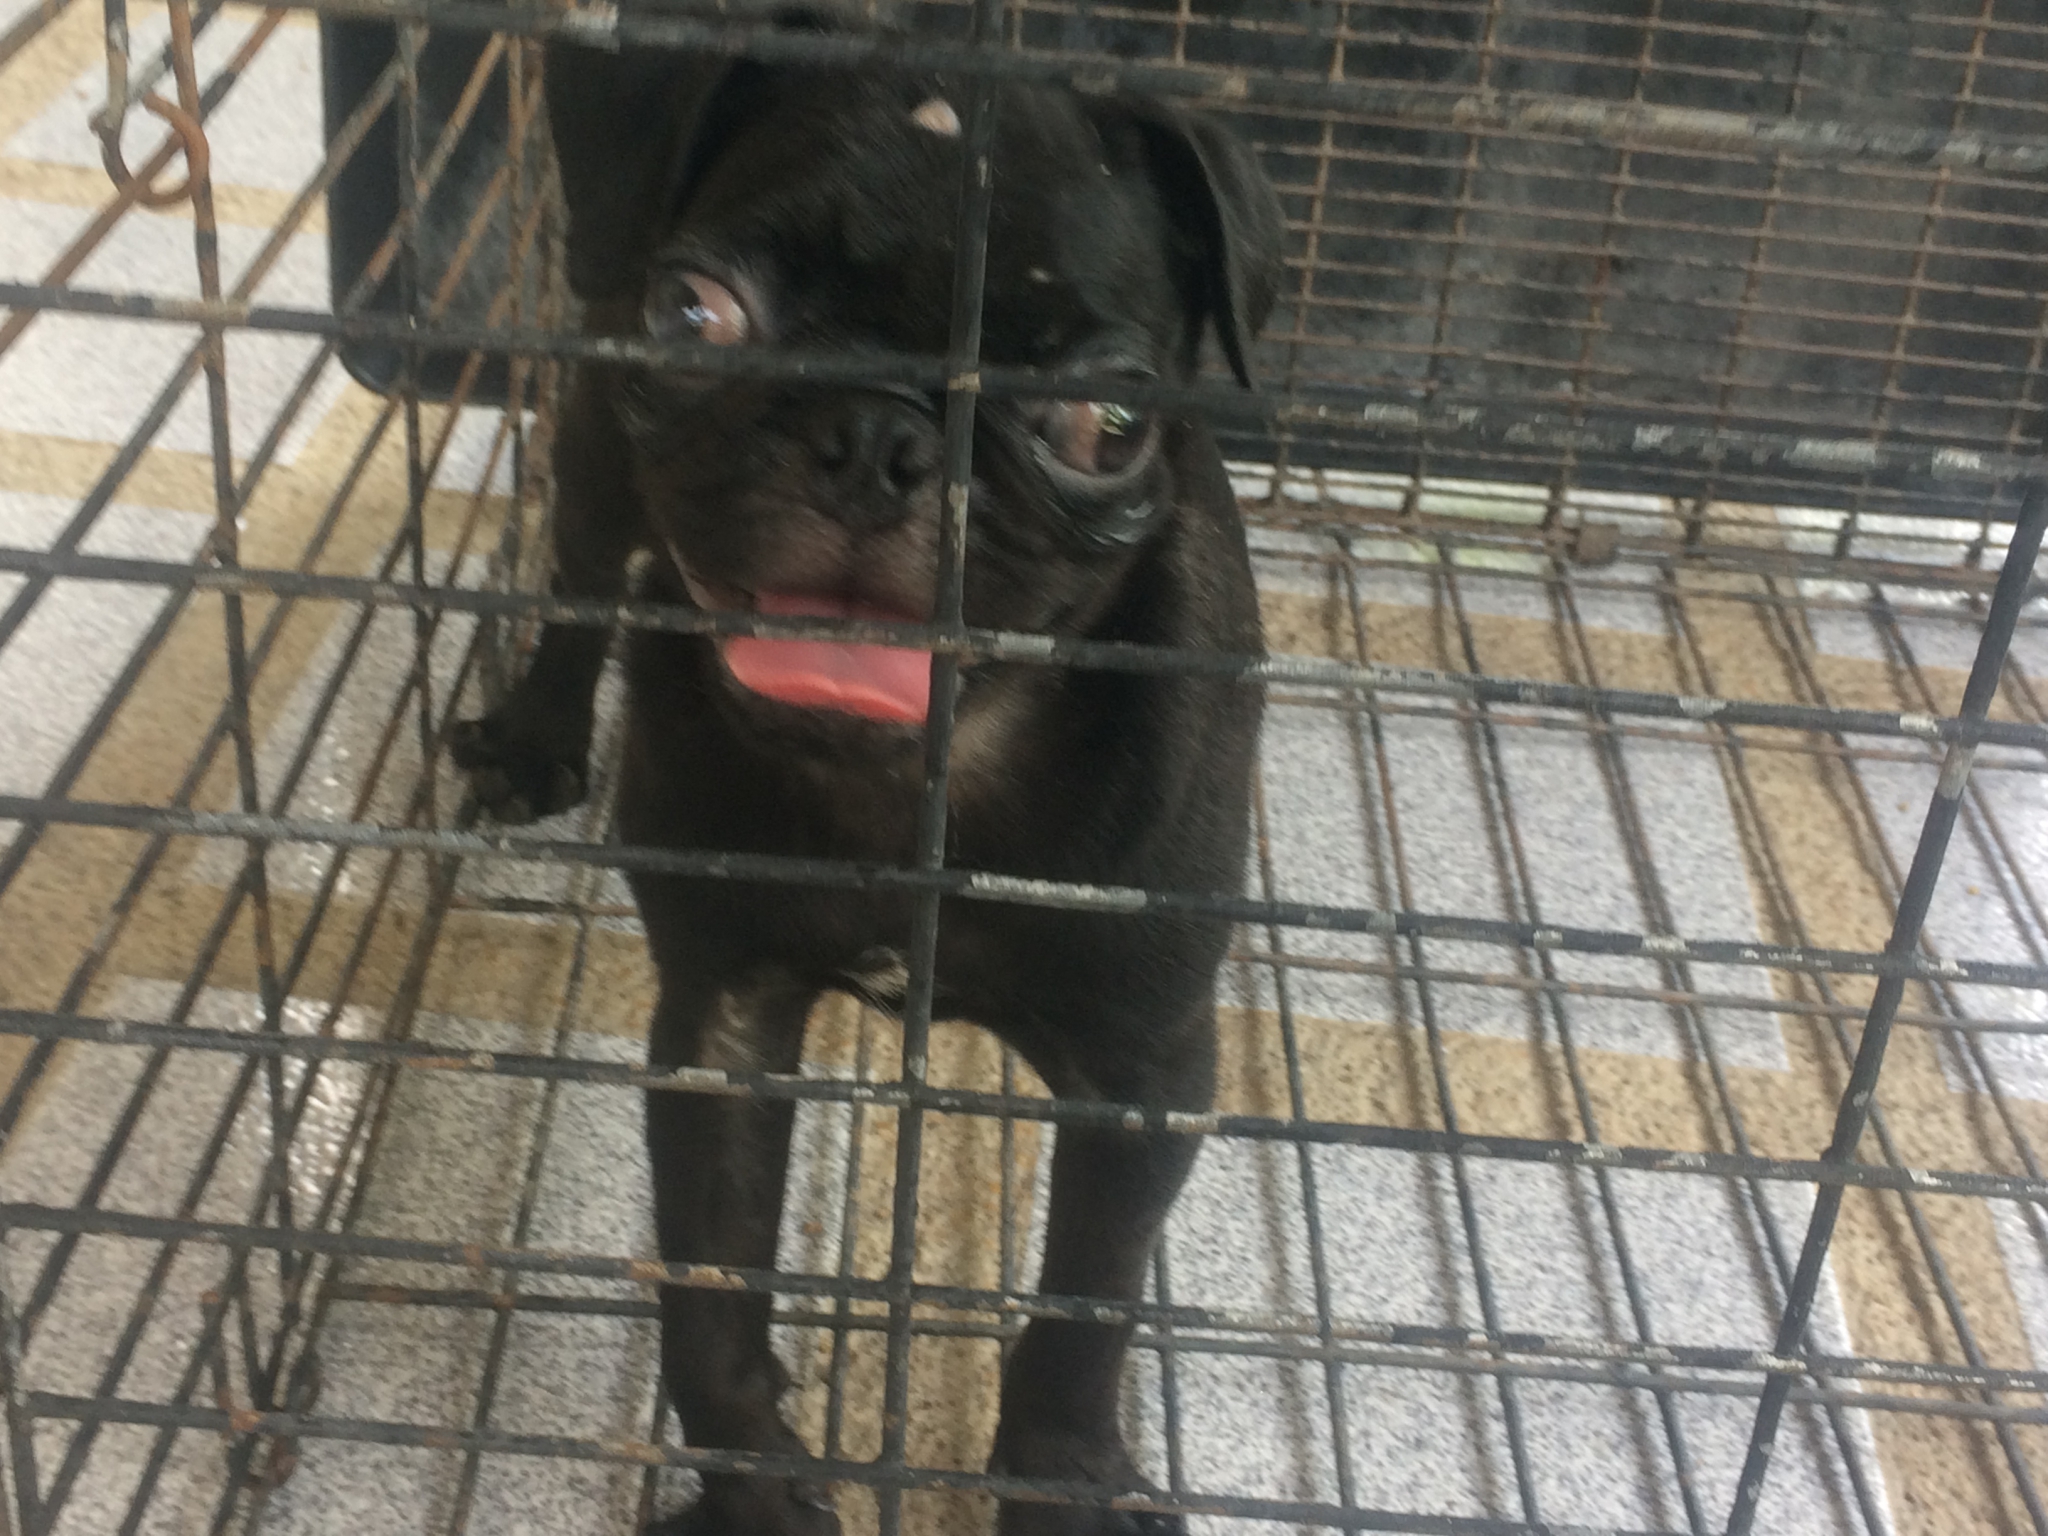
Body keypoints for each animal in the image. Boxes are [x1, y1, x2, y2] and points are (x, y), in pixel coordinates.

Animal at [451, 10, 1281, 1530]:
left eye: (1103, 422)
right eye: (695, 316)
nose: (876, 436)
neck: (913, 776)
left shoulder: (1143, 1074)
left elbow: (1082, 1311)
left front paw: (1062, 1481)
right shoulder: (721, 1027)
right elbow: (709, 1296)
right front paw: (753, 1489)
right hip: (591, 446)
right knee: (580, 585)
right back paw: (535, 735)